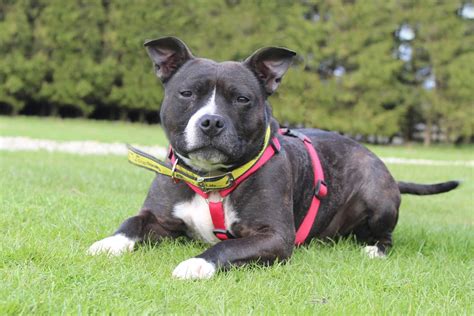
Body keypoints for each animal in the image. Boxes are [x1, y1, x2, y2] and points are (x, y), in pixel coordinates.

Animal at [87, 36, 458, 278]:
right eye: (187, 93)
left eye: (241, 99)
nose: (211, 121)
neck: (211, 178)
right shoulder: (159, 218)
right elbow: (131, 222)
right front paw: (108, 243)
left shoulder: (274, 237)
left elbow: (226, 247)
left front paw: (197, 263)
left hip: (376, 194)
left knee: (386, 237)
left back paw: (373, 249)